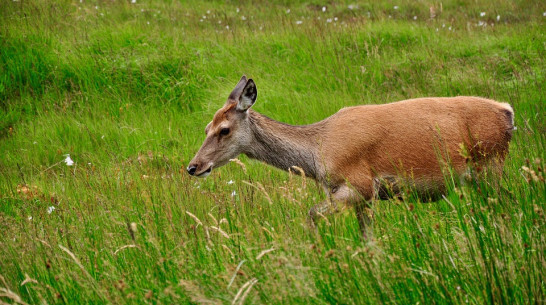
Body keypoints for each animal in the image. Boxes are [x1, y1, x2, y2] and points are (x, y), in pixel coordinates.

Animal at [185, 75, 512, 238]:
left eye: (224, 129)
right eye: (205, 128)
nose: (193, 166)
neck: (316, 154)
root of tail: (508, 112)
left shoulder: (359, 184)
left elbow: (311, 214)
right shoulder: (365, 198)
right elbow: (368, 240)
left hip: (491, 165)